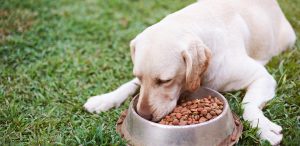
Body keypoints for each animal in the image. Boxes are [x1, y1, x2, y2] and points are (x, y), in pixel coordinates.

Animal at [84, 0, 296, 144]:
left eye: (165, 80)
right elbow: (127, 85)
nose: (143, 115)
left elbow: (248, 104)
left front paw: (264, 128)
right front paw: (104, 98)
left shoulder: (262, 77)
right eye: (139, 76)